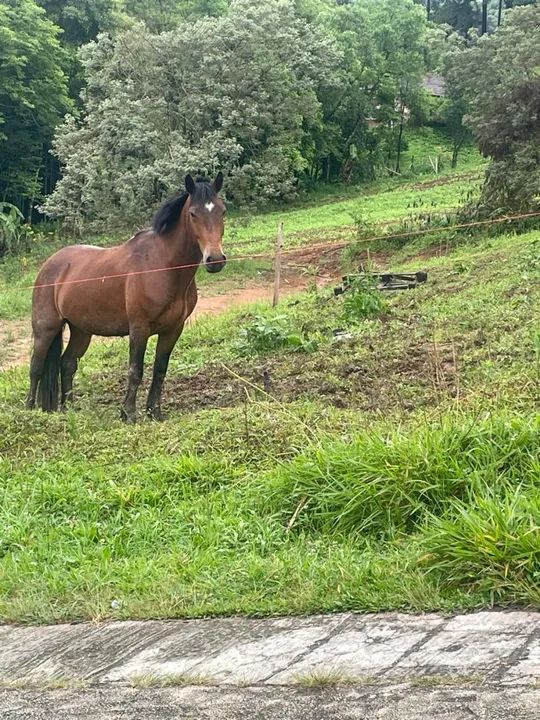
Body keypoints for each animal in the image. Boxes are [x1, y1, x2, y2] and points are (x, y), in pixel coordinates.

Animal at [26, 173, 226, 422]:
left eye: (222, 211)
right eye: (193, 214)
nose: (215, 259)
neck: (162, 266)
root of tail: (49, 265)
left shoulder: (173, 330)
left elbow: (160, 370)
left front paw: (154, 412)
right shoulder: (139, 329)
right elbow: (135, 370)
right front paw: (128, 413)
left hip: (81, 330)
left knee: (67, 363)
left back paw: (69, 409)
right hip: (46, 328)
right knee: (36, 367)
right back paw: (29, 410)